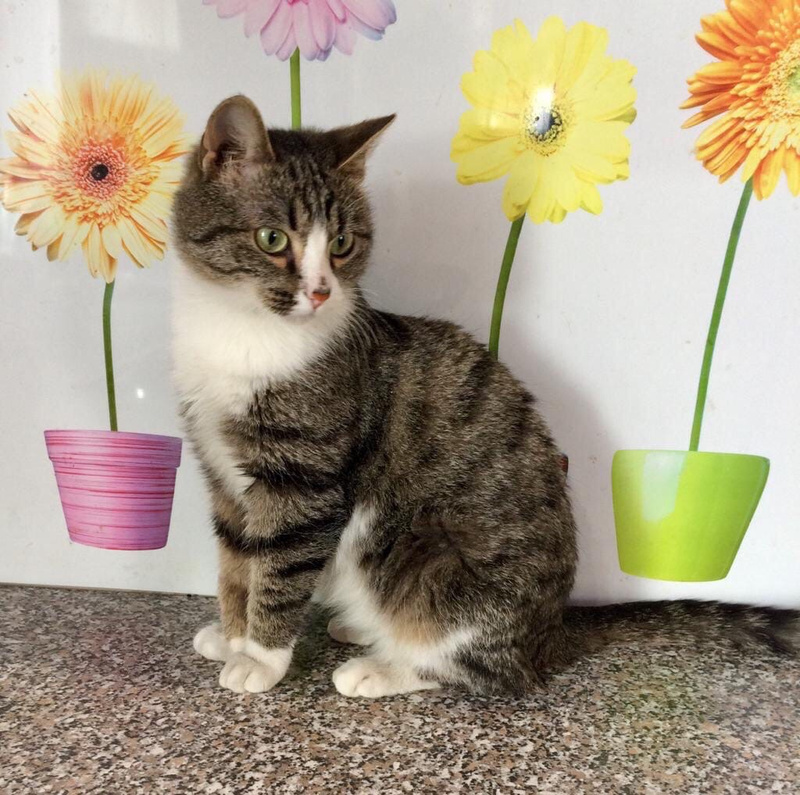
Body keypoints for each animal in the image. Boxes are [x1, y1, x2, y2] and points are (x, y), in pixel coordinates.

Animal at [171, 95, 798, 698]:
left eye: (343, 244)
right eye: (273, 239)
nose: (323, 291)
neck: (243, 333)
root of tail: (553, 627)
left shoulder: (305, 479)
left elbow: (280, 565)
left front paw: (260, 658)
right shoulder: (220, 472)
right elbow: (237, 558)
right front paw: (231, 636)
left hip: (429, 560)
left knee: (493, 671)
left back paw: (381, 668)